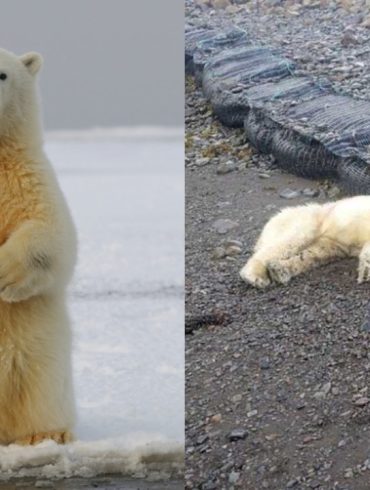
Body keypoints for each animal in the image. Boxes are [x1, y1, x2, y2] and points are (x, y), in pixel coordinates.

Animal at [240, 195, 370, 288]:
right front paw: (365, 271)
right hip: (310, 218)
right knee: (293, 239)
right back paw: (256, 276)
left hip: (331, 240)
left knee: (317, 254)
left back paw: (279, 270)